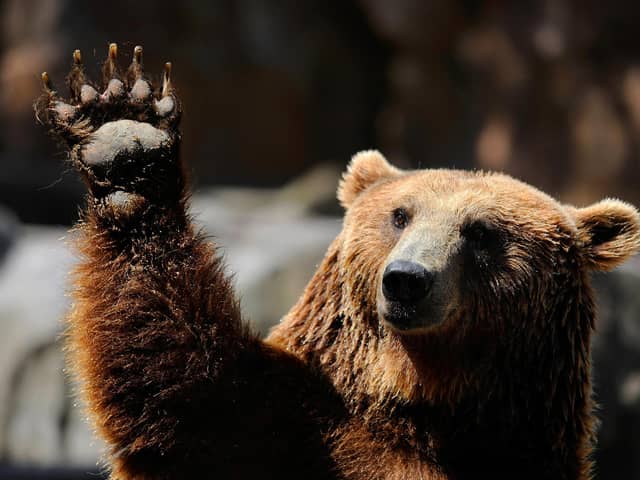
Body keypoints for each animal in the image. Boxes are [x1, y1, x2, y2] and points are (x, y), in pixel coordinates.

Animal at [35, 44, 640, 480]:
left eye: (481, 233)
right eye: (400, 215)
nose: (406, 282)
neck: (420, 398)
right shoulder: (269, 423)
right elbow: (169, 375)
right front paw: (124, 131)